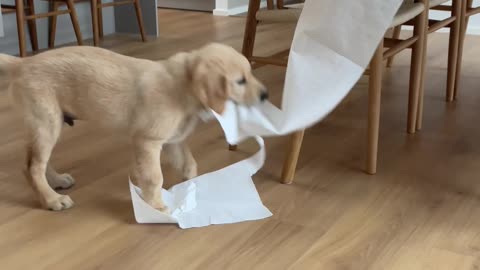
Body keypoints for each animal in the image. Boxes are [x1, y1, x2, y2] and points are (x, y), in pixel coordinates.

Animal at [0, 42, 268, 211]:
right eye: (240, 81)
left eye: (250, 74)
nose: (265, 95)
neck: (182, 85)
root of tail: (22, 62)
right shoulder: (148, 141)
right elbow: (154, 177)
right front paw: (157, 205)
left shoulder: (174, 141)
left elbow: (189, 164)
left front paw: (191, 187)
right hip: (46, 122)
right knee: (31, 167)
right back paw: (52, 200)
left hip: (50, 124)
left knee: (37, 162)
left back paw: (56, 180)